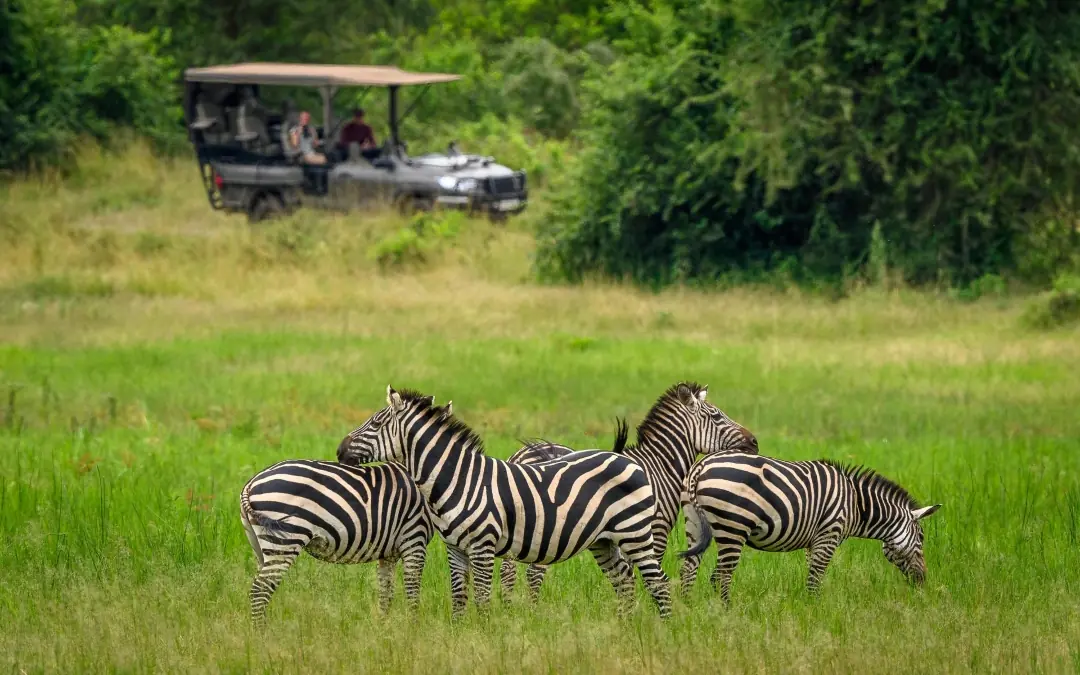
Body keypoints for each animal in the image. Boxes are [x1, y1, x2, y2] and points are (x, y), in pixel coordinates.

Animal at [239, 399, 451, 626]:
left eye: (375, 423)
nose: (340, 451)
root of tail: (251, 483)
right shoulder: (414, 539)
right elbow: (412, 591)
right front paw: (413, 628)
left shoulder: (389, 553)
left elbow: (386, 592)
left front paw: (384, 628)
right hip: (285, 540)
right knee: (260, 590)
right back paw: (262, 632)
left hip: (260, 543)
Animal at [336, 385, 674, 618]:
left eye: (375, 424)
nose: (339, 450)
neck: (458, 479)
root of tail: (623, 458)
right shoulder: (455, 549)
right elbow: (459, 597)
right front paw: (459, 637)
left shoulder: (483, 547)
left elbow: (483, 599)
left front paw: (485, 638)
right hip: (603, 541)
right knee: (625, 581)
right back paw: (624, 626)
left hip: (635, 533)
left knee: (659, 582)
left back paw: (665, 631)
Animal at [499, 382, 758, 602]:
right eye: (716, 416)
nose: (755, 442)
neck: (659, 466)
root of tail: (522, 456)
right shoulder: (655, 529)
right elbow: (645, 573)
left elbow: (627, 574)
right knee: (533, 572)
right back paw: (531, 610)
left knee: (508, 569)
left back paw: (510, 608)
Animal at [677, 452, 942, 602]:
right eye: (921, 537)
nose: (923, 581)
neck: (856, 504)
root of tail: (702, 465)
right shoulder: (829, 534)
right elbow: (816, 575)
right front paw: (815, 610)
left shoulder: (814, 540)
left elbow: (811, 572)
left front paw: (810, 607)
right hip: (733, 527)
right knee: (721, 576)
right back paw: (727, 612)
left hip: (694, 523)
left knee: (688, 569)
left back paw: (689, 609)